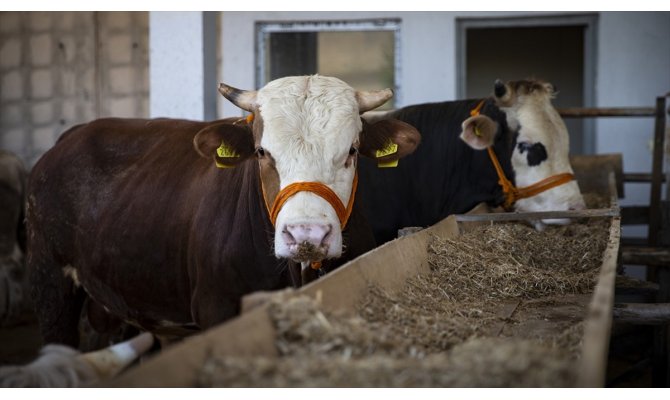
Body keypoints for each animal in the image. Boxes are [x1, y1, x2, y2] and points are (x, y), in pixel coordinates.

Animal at [27, 75, 420, 346]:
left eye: (352, 150)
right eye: (262, 152)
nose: (306, 234)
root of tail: (73, 135)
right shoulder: (215, 306)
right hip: (50, 286)